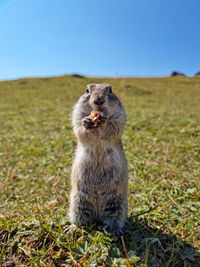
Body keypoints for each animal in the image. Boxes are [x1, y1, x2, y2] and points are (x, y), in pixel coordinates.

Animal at [68, 83, 128, 234]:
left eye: (110, 90)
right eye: (87, 90)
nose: (99, 101)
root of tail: (97, 214)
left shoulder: (120, 116)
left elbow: (114, 126)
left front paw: (104, 119)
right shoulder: (77, 113)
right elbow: (78, 127)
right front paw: (86, 122)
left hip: (117, 204)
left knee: (114, 220)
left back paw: (117, 231)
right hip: (78, 202)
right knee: (81, 220)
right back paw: (73, 228)